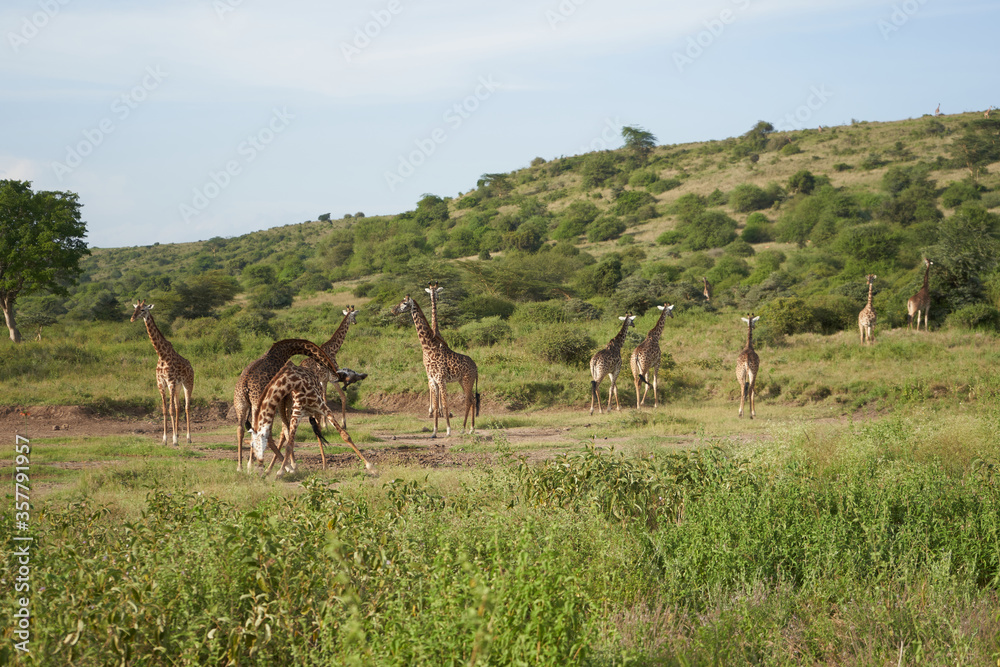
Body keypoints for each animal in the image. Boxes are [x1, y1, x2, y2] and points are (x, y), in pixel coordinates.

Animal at [130, 301, 194, 445]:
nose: (132, 318)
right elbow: (165, 410)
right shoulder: (161, 384)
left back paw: (188, 438)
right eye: (135, 309)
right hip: (178, 387)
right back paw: (179, 434)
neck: (161, 355)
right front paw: (165, 439)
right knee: (178, 407)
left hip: (188, 383)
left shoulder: (170, 382)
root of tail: (191, 366)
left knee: (187, 407)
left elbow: (170, 410)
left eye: (143, 310)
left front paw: (174, 440)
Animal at [232, 338, 342, 471]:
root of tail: (244, 387)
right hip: (258, 405)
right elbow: (287, 429)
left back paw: (242, 466)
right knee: (263, 432)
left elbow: (285, 429)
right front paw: (292, 465)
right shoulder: (284, 399)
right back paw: (284, 467)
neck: (283, 352)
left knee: (241, 430)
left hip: (241, 404)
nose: (337, 375)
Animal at [392, 295, 479, 438]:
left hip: (467, 380)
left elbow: (445, 404)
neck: (428, 347)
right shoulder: (432, 380)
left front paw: (448, 431)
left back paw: (463, 429)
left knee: (468, 401)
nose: (393, 310)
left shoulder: (440, 379)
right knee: (472, 400)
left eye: (404, 303)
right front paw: (434, 432)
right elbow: (437, 406)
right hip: (462, 381)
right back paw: (471, 429)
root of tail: (476, 367)